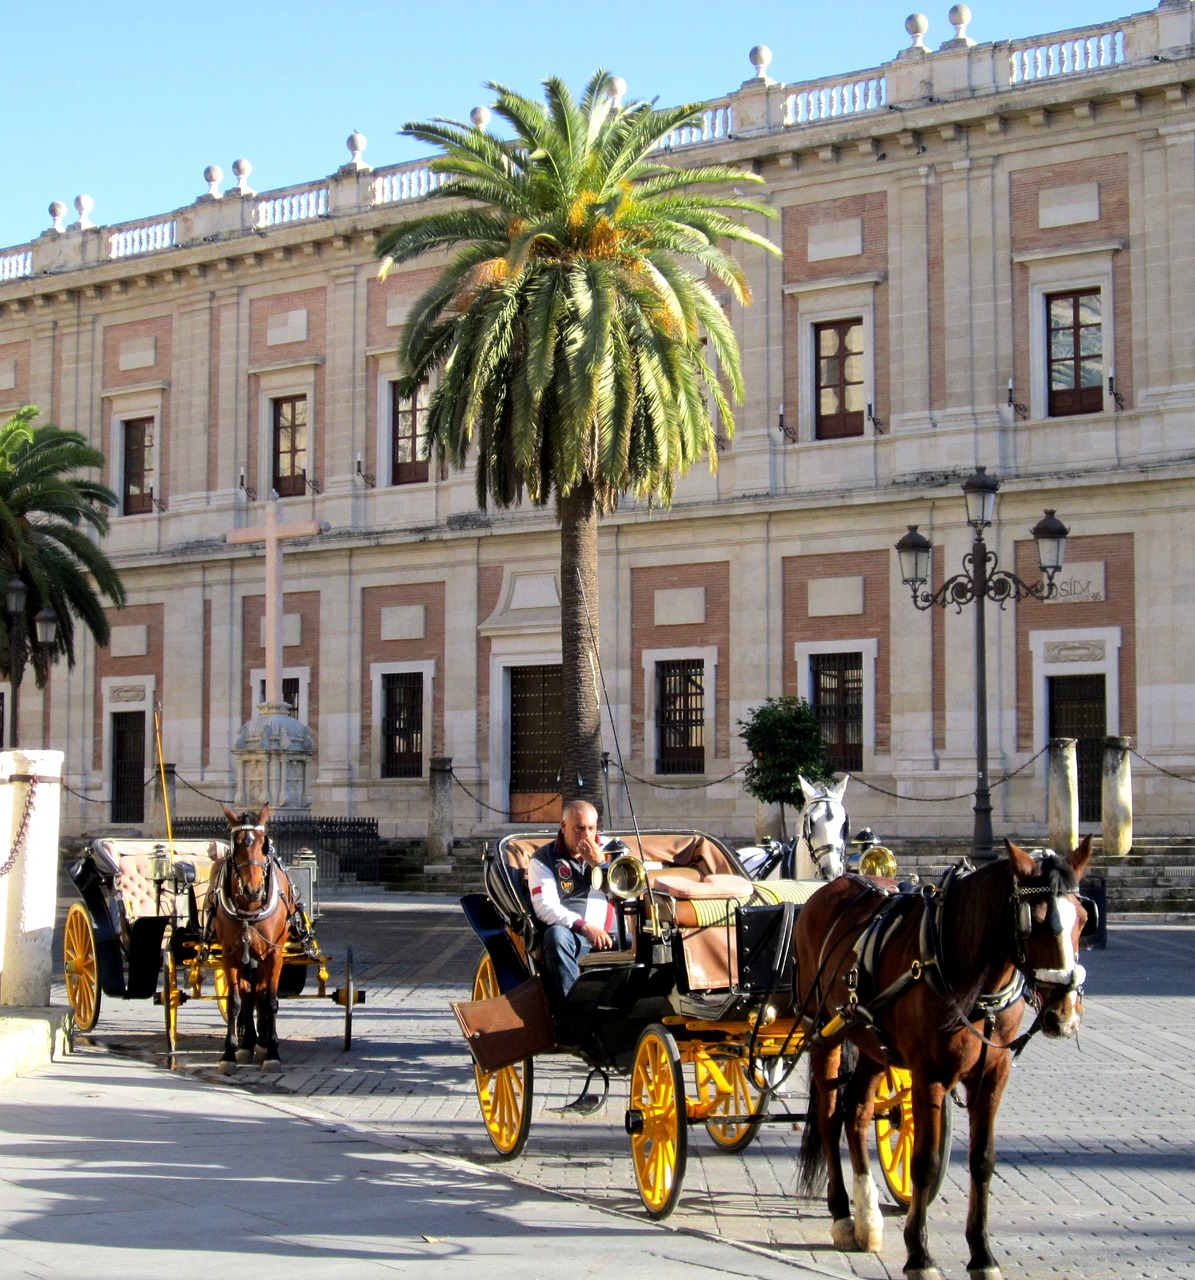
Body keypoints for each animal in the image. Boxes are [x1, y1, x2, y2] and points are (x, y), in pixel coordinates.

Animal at [212, 808, 294, 1070]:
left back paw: (261, 1042)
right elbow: (235, 1001)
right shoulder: (230, 955)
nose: (253, 890)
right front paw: (229, 1053)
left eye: (263, 845)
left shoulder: (275, 954)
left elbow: (270, 1000)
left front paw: (272, 1051)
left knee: (259, 992)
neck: (250, 909)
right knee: (249, 993)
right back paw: (248, 1043)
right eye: (235, 845)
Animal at [793, 834, 1095, 1274]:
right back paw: (842, 1217)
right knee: (830, 1117)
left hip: (871, 1042)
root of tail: (830, 888)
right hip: (823, 1032)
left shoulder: (994, 1074)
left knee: (857, 1113)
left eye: (1084, 920)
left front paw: (982, 1254)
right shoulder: (928, 1074)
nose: (1066, 1014)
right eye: (1034, 921)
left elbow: (982, 1160)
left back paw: (867, 1218)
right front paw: (919, 1256)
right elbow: (924, 1162)